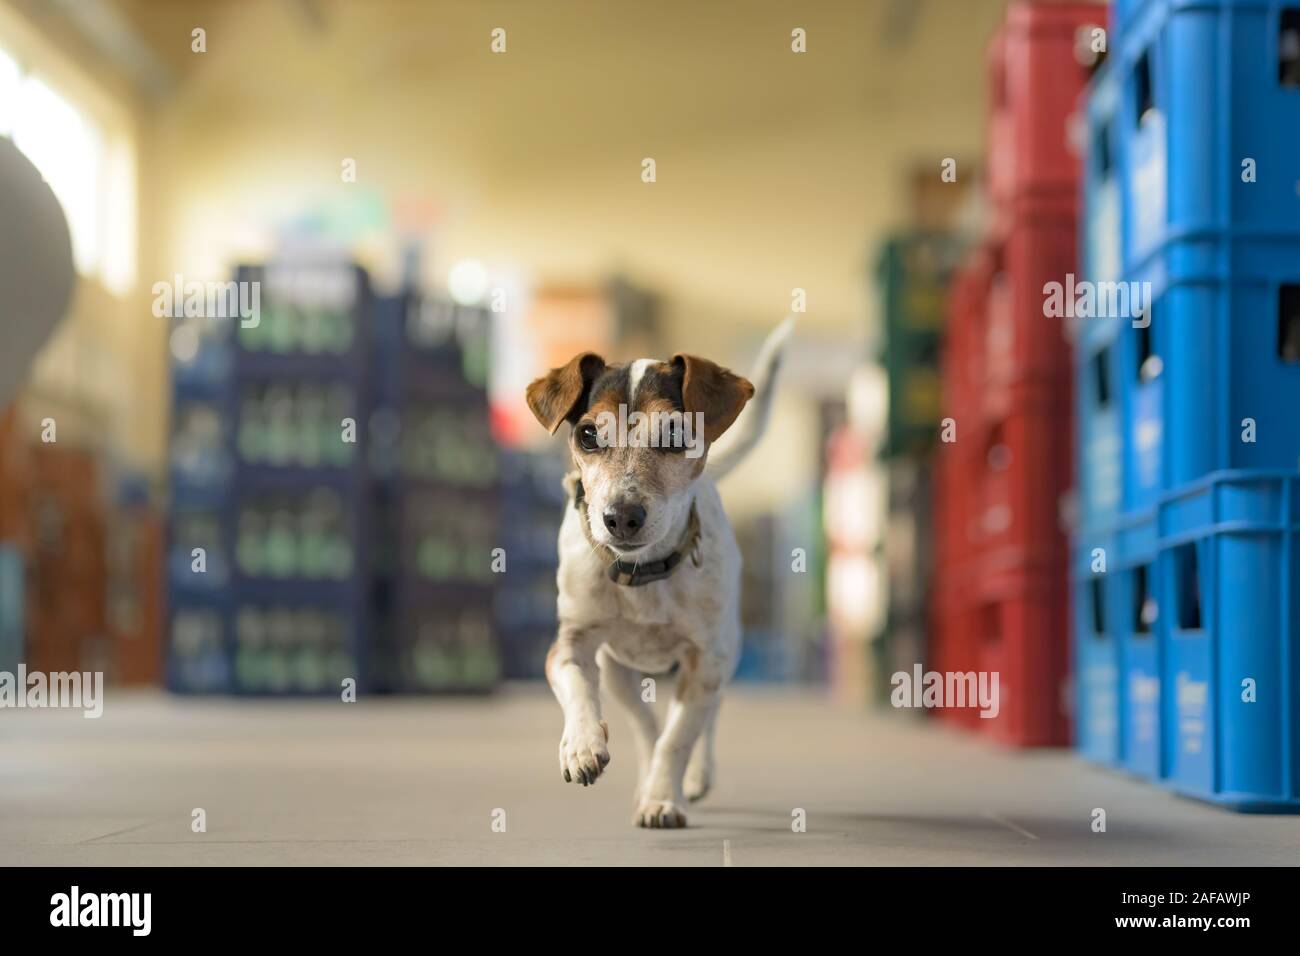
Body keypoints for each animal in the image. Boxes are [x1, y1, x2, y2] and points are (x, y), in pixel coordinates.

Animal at [520, 317, 785, 827]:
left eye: (676, 435)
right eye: (588, 435)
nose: (621, 517)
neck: (642, 573)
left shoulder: (706, 662)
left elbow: (678, 738)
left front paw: (665, 799)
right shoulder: (571, 644)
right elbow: (581, 691)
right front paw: (581, 745)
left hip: (725, 654)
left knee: (703, 719)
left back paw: (694, 778)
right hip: (618, 671)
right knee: (645, 726)